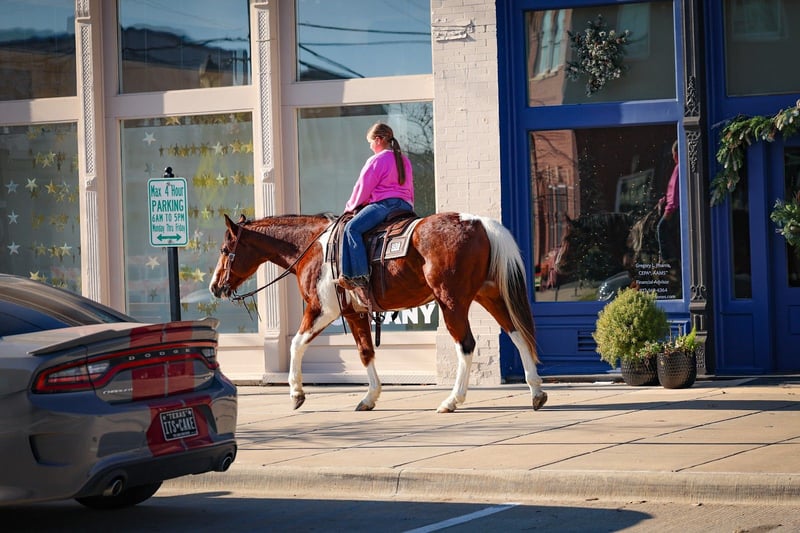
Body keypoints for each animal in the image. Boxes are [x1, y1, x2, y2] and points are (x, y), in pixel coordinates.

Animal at [209, 212, 547, 413]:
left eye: (225, 250)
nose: (214, 286)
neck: (312, 248)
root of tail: (477, 222)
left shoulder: (321, 308)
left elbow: (296, 343)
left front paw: (296, 393)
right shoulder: (354, 312)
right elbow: (365, 351)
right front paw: (370, 397)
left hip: (451, 301)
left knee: (466, 345)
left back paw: (452, 400)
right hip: (489, 295)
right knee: (517, 335)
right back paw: (536, 392)